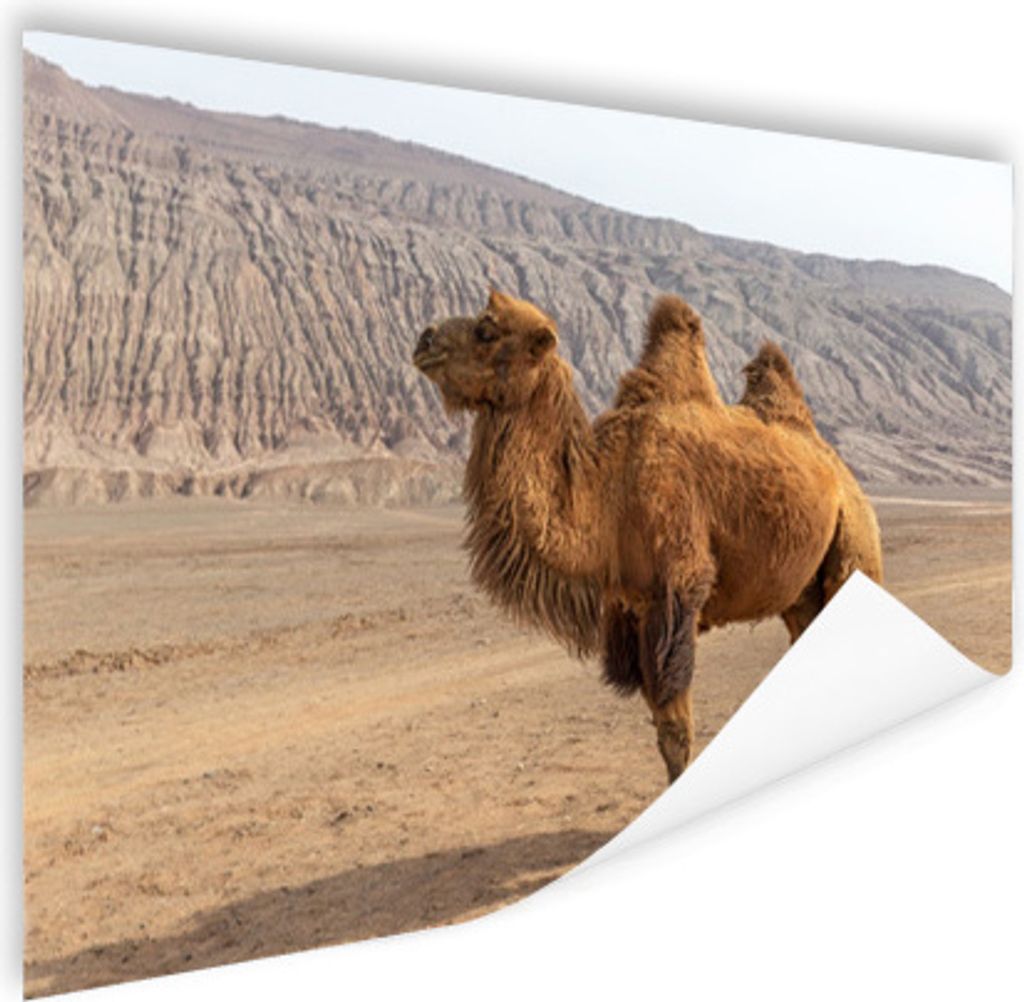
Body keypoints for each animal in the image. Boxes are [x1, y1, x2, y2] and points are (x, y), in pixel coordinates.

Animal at [412, 290, 882, 782]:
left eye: (487, 329)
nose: (424, 339)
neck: (607, 493)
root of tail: (838, 470)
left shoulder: (675, 595)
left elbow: (676, 732)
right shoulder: (628, 608)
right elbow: (662, 731)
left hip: (854, 543)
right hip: (800, 593)